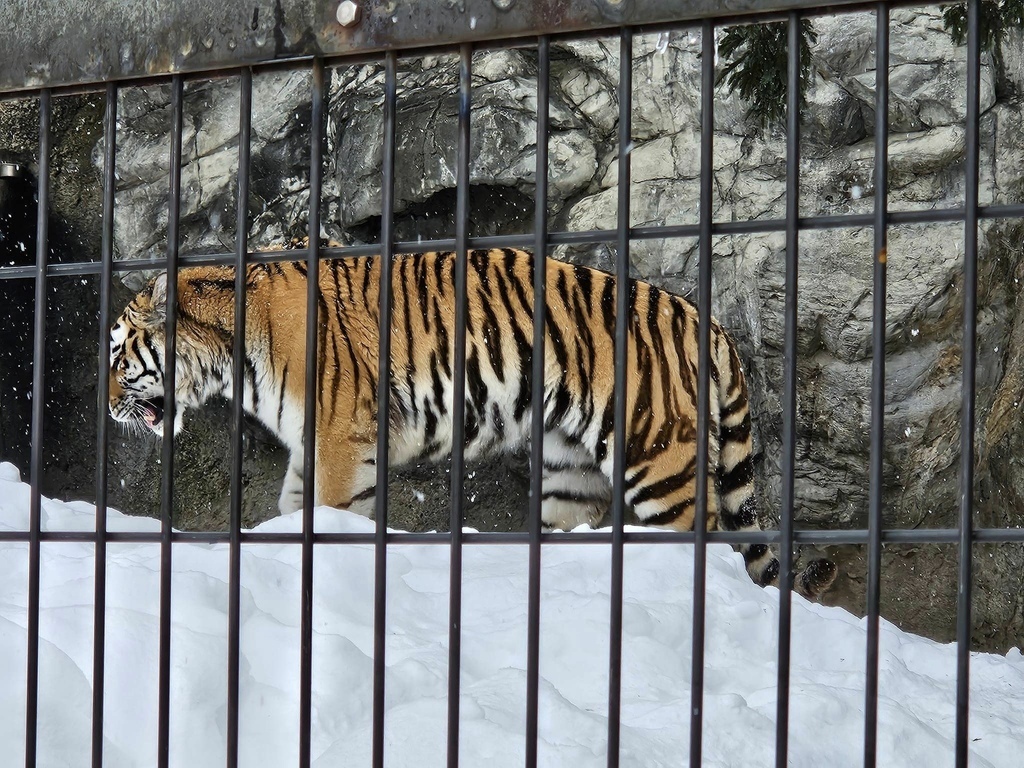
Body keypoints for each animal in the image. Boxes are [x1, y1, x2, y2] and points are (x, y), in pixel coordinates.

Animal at [108, 249, 835, 598]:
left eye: (118, 355)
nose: (108, 402)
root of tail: (706, 323)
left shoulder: (341, 440)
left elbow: (331, 515)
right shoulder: (314, 448)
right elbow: (293, 509)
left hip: (660, 463)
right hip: (569, 470)